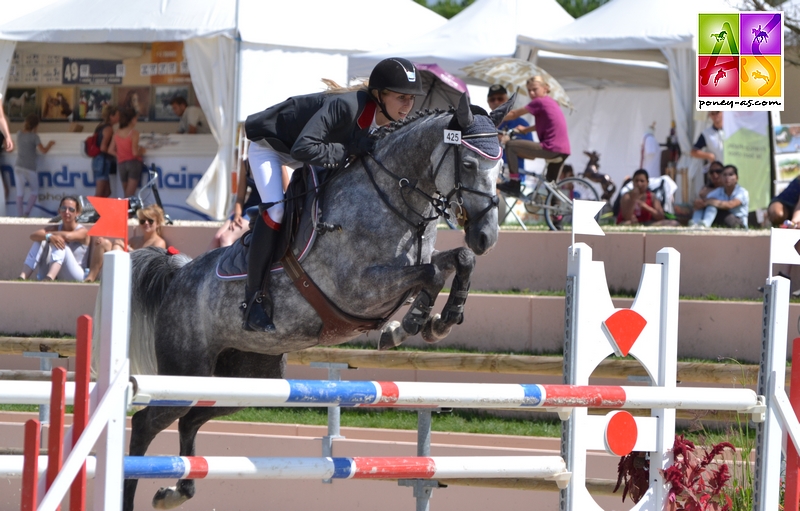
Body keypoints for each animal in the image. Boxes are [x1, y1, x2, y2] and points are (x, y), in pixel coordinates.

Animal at [120, 95, 506, 508]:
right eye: (469, 164)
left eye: (500, 167)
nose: (486, 237)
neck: (394, 198)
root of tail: (178, 275)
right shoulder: (359, 287)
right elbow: (431, 274)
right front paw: (413, 323)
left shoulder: (409, 270)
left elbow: (456, 261)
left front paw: (438, 320)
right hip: (186, 370)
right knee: (146, 424)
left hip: (247, 378)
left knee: (189, 420)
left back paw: (177, 491)